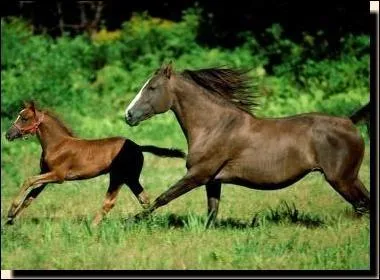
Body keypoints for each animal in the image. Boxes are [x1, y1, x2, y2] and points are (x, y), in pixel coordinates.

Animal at [4, 101, 186, 226]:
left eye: (24, 118)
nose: (8, 134)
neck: (57, 144)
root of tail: (138, 146)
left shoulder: (58, 176)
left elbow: (28, 180)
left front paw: (10, 211)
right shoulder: (46, 175)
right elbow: (29, 198)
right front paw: (10, 220)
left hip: (118, 176)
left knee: (110, 202)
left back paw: (92, 225)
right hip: (131, 178)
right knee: (144, 199)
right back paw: (149, 222)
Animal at [126, 62, 370, 226]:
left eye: (152, 88)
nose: (128, 115)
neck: (214, 127)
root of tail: (350, 121)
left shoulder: (198, 174)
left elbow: (163, 197)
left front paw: (131, 220)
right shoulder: (213, 181)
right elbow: (212, 212)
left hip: (341, 179)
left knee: (362, 204)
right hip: (350, 178)